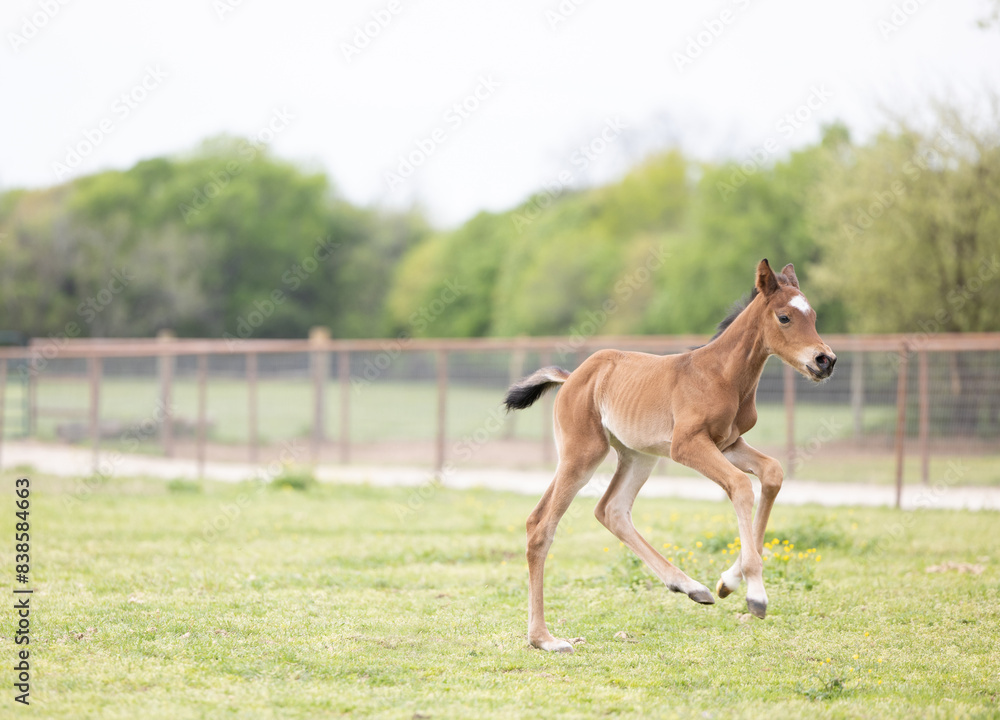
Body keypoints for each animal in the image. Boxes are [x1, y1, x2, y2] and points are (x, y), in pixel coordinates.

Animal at [503, 259, 836, 652]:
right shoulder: (688, 445)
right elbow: (741, 486)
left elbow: (772, 472)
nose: (825, 360)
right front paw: (755, 594)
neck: (722, 376)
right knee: (542, 525)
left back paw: (692, 588)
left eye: (813, 316)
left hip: (638, 456)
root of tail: (571, 378)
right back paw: (544, 639)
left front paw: (727, 582)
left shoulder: (728, 444)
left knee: (610, 510)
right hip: (582, 453)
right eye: (784, 317)